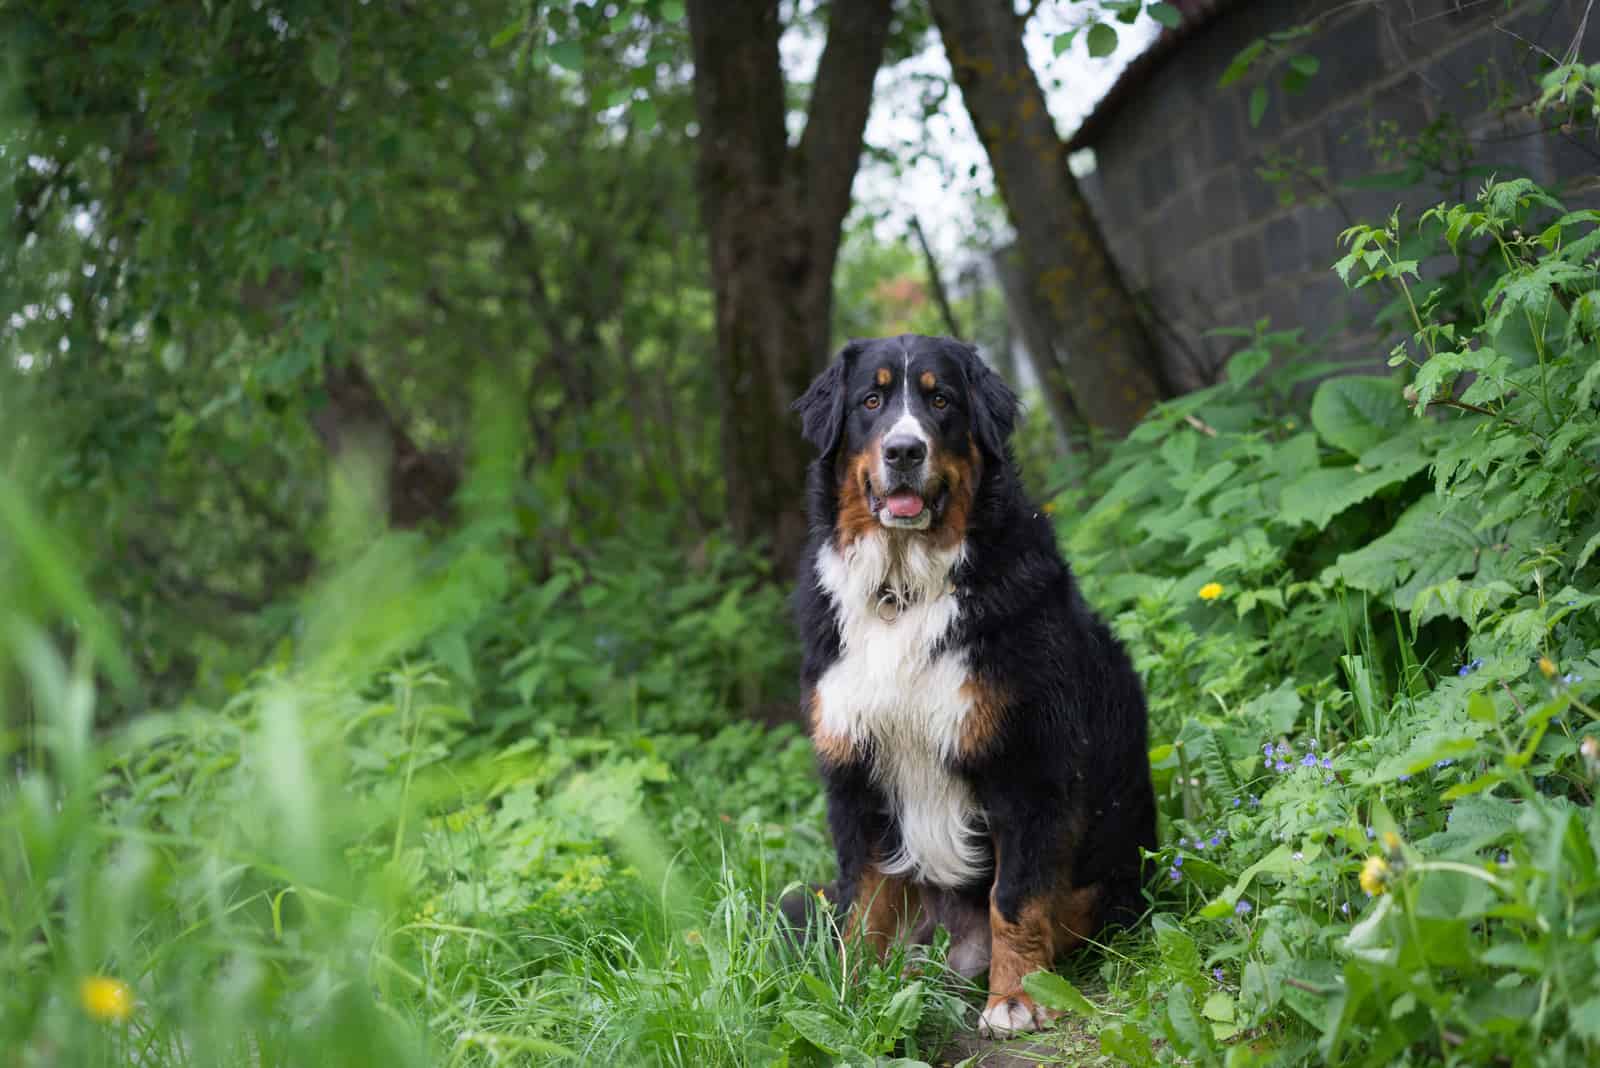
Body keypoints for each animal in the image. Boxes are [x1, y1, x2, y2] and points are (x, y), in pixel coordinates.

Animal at [787, 330, 1152, 1036]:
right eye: (871, 400)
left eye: (941, 400)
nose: (904, 451)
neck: (903, 587)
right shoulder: (855, 775)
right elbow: (862, 906)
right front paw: (851, 999)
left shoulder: (1028, 764)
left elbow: (1016, 898)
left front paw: (1016, 1000)